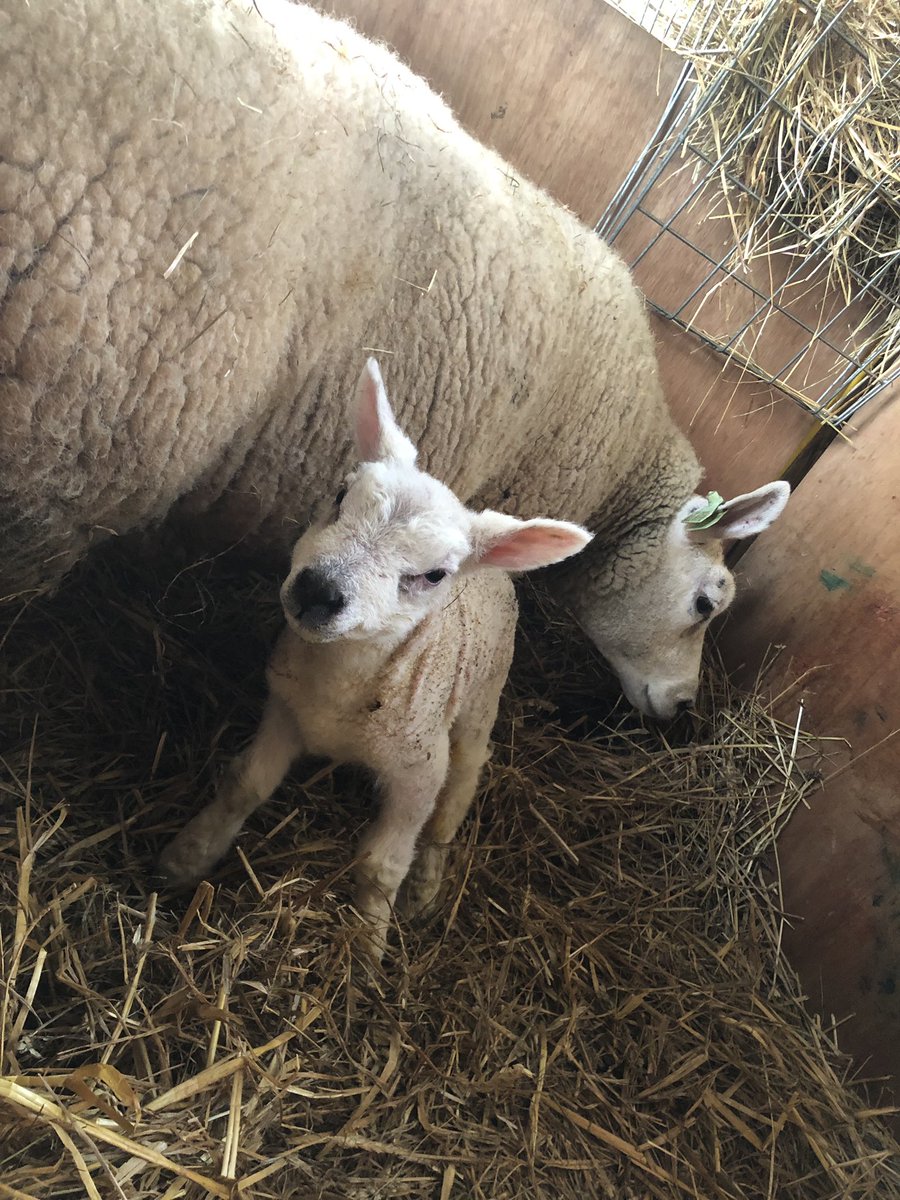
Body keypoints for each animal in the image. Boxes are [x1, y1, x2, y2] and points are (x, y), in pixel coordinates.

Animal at [157, 358, 591, 956]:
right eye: (340, 495)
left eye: (434, 574)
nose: (318, 590)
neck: (342, 692)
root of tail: (499, 572)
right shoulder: (284, 710)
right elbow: (244, 784)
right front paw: (185, 859)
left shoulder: (418, 771)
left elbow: (381, 864)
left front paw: (365, 950)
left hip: (479, 706)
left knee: (456, 797)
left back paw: (426, 888)